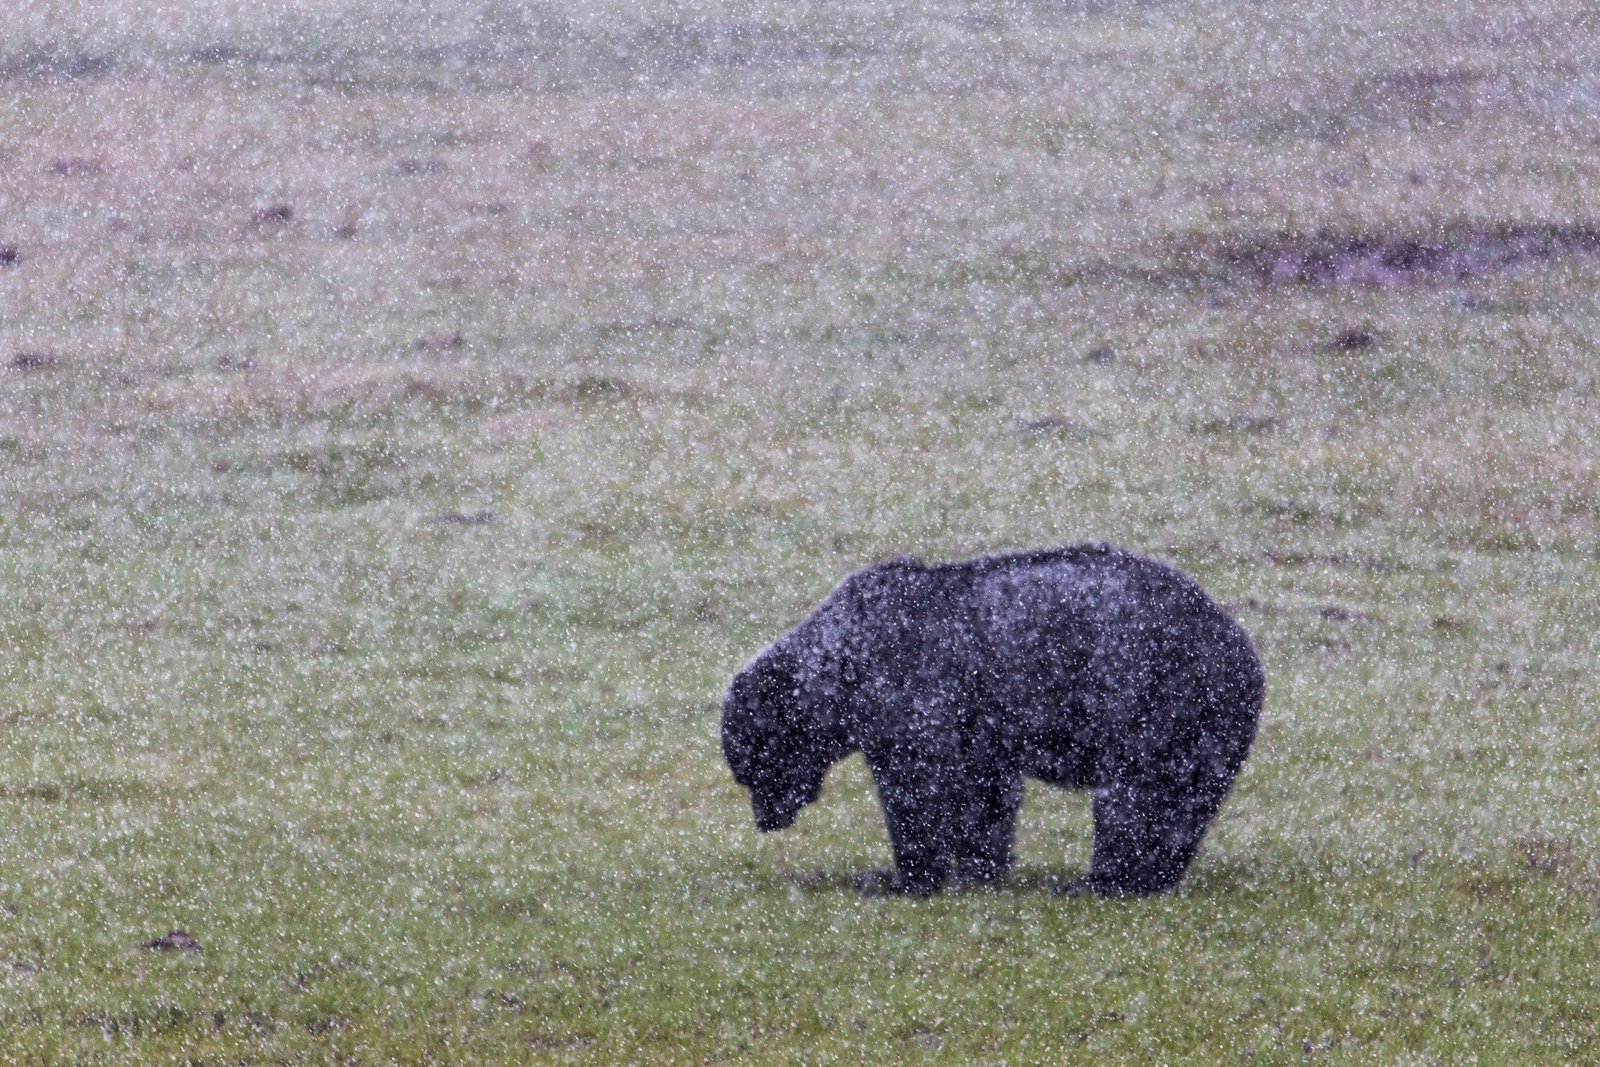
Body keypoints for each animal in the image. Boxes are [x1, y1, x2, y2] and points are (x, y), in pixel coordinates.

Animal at [721, 544, 1264, 897]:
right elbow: (983, 793)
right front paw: (978, 866)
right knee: (1185, 804)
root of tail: (1242, 650)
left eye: (754, 768)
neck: (840, 669)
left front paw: (901, 877)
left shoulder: (909, 685)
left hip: (1154, 697)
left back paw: (1102, 881)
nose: (765, 820)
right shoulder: (978, 724)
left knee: (1135, 796)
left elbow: (917, 786)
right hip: (1209, 729)